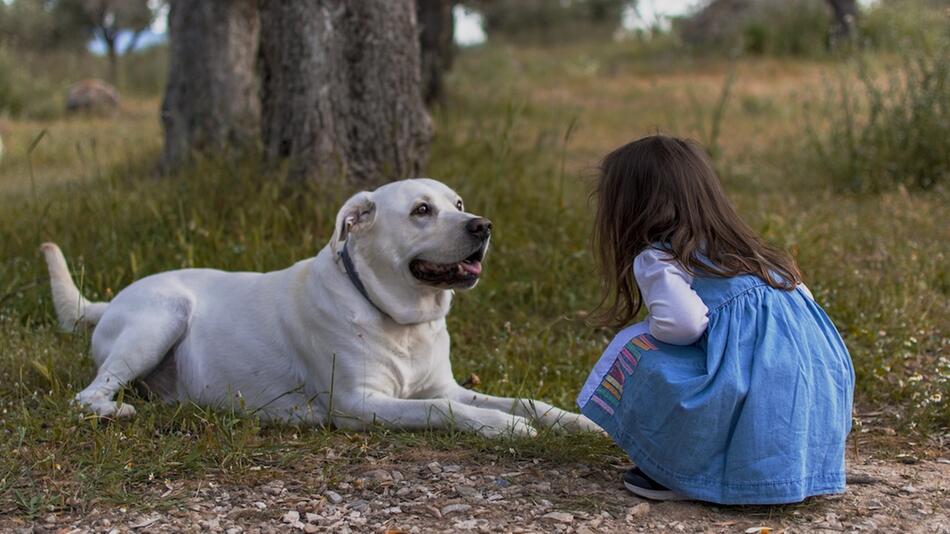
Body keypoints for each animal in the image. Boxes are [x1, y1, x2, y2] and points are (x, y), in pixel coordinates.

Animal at [44, 180, 600, 440]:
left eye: (458, 203)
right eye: (422, 210)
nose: (482, 225)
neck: (399, 320)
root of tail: (111, 300)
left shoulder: (444, 385)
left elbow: (525, 401)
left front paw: (577, 422)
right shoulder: (359, 404)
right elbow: (444, 411)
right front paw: (504, 428)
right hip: (161, 317)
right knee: (86, 394)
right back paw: (114, 410)